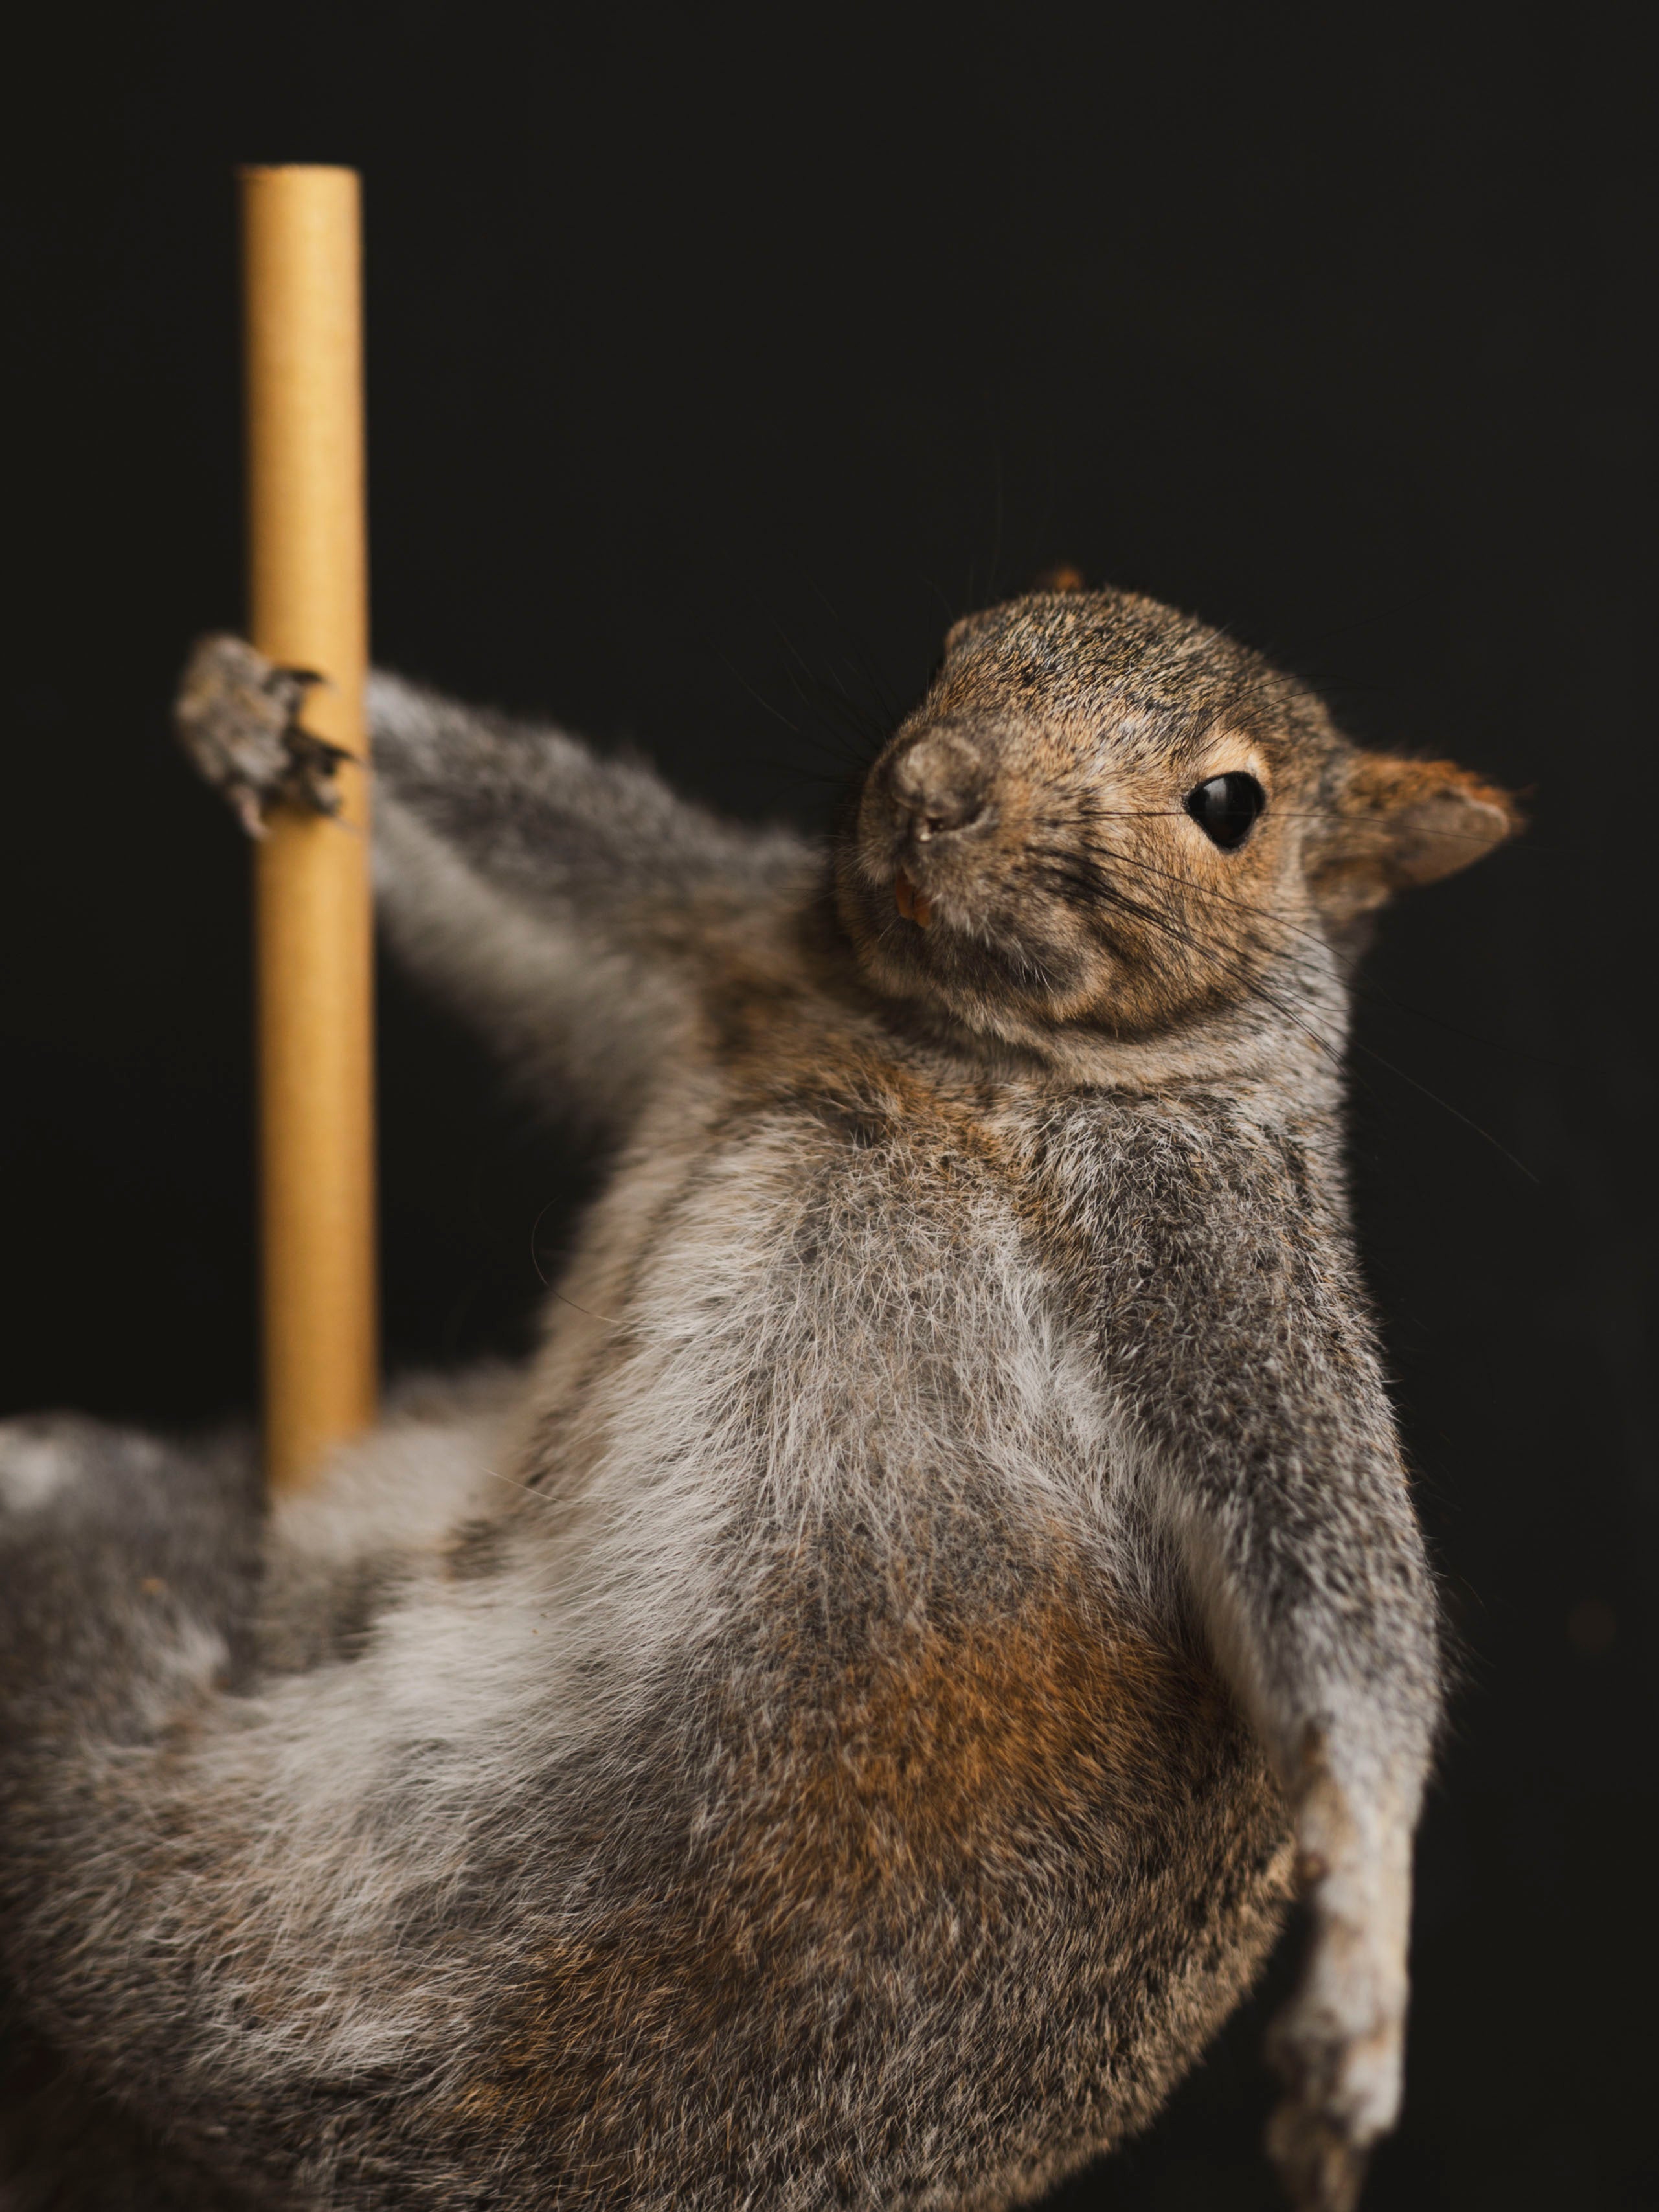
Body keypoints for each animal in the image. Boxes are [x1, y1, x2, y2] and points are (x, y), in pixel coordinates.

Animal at [0, 582, 1517, 2212]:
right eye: (958, 644)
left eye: (1230, 806)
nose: (934, 783)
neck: (947, 1039)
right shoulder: (728, 935)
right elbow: (542, 871)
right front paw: (251, 709)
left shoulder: (1219, 1265)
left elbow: (1336, 1596)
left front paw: (1362, 1963)